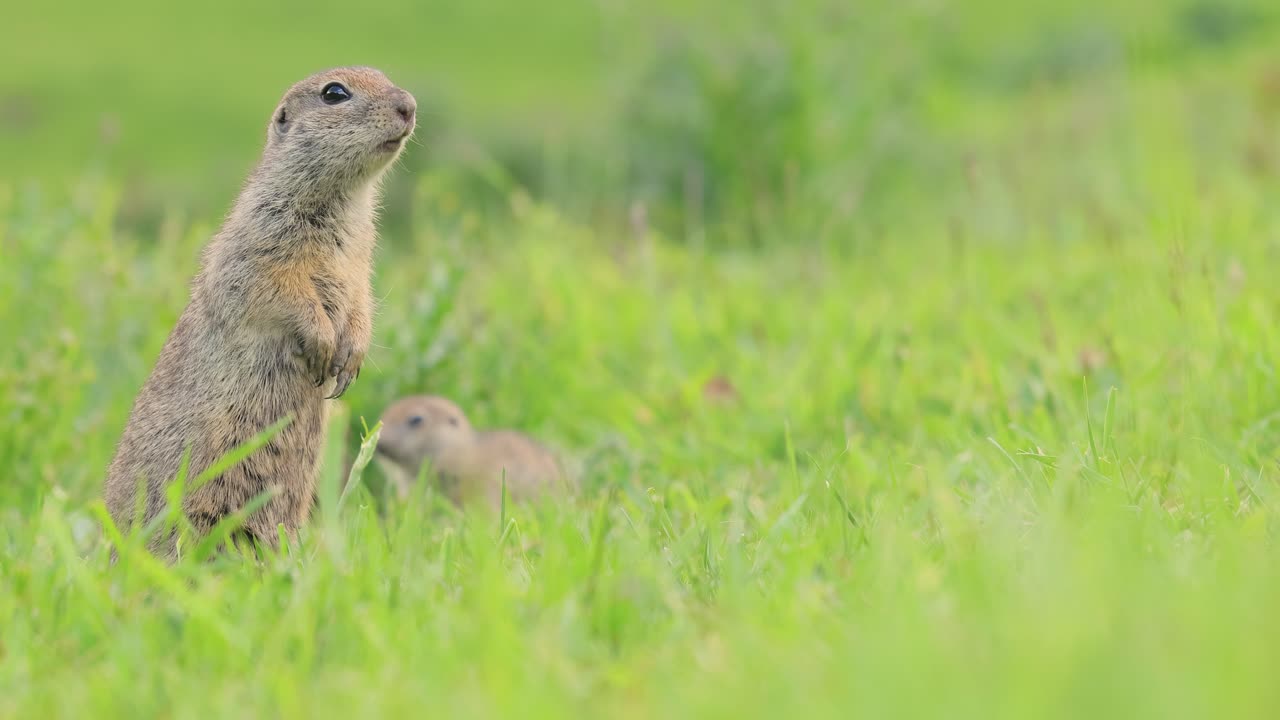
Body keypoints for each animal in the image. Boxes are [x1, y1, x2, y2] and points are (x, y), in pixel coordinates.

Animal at [103, 67, 416, 559]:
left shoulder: (360, 265)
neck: (344, 203)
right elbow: (279, 291)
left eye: (384, 74)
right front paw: (323, 343)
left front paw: (351, 358)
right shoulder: (260, 245)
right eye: (335, 93)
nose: (410, 105)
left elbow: (361, 303)